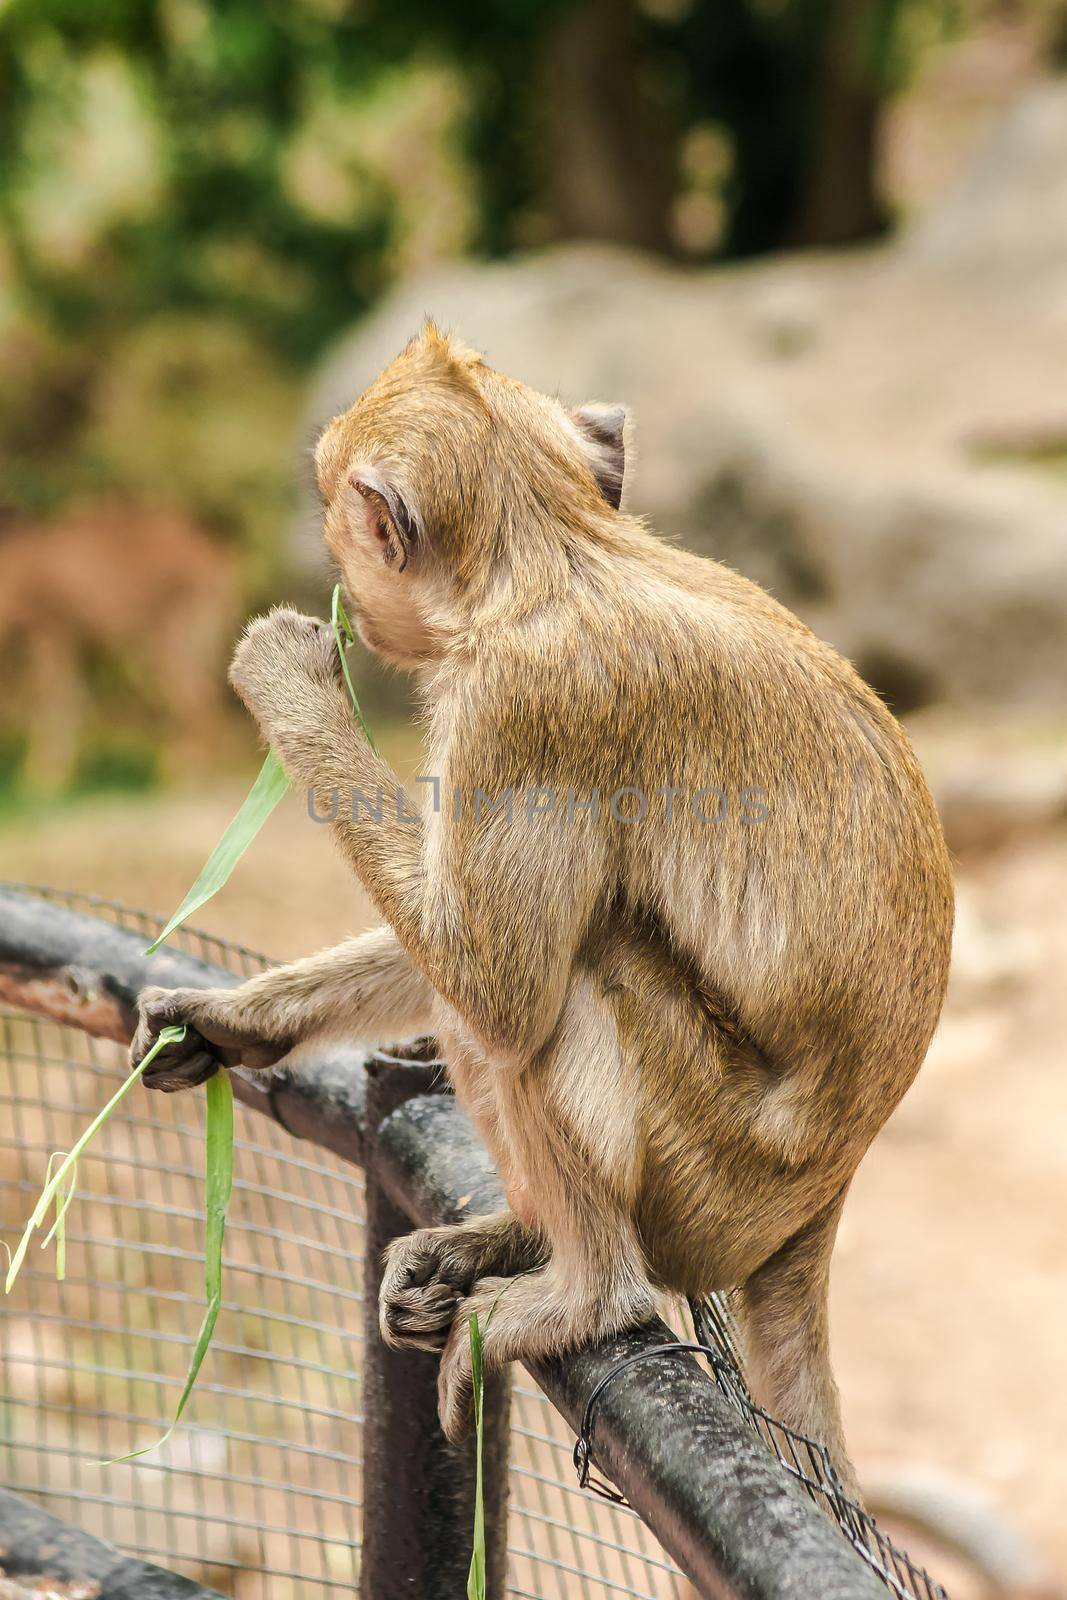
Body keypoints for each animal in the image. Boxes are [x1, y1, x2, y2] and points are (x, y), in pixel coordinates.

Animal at [129, 318, 953, 1491]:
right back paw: (514, 1244)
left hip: (711, 1181)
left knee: (567, 986)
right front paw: (229, 1017)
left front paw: (287, 676)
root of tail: (818, 1204)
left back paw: (583, 1294)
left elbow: (501, 985)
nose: (341, 576)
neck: (555, 556)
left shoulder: (520, 712)